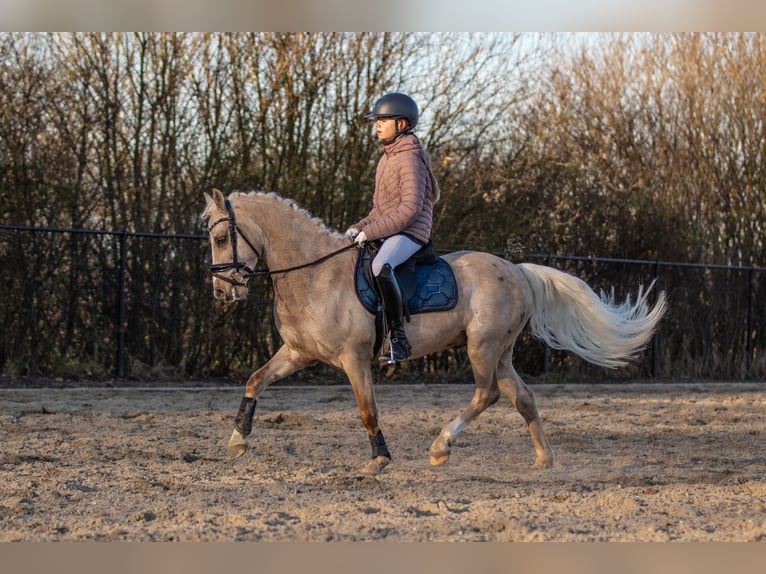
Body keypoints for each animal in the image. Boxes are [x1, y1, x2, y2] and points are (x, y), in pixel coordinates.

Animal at [202, 189, 664, 476]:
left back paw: (442, 446)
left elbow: (368, 411)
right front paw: (237, 443)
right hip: (500, 352)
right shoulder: (299, 353)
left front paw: (379, 461)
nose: (222, 292)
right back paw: (543, 460)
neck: (314, 275)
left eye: (223, 237)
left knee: (487, 394)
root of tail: (518, 270)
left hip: (482, 347)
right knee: (523, 397)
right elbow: (255, 380)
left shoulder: (354, 359)